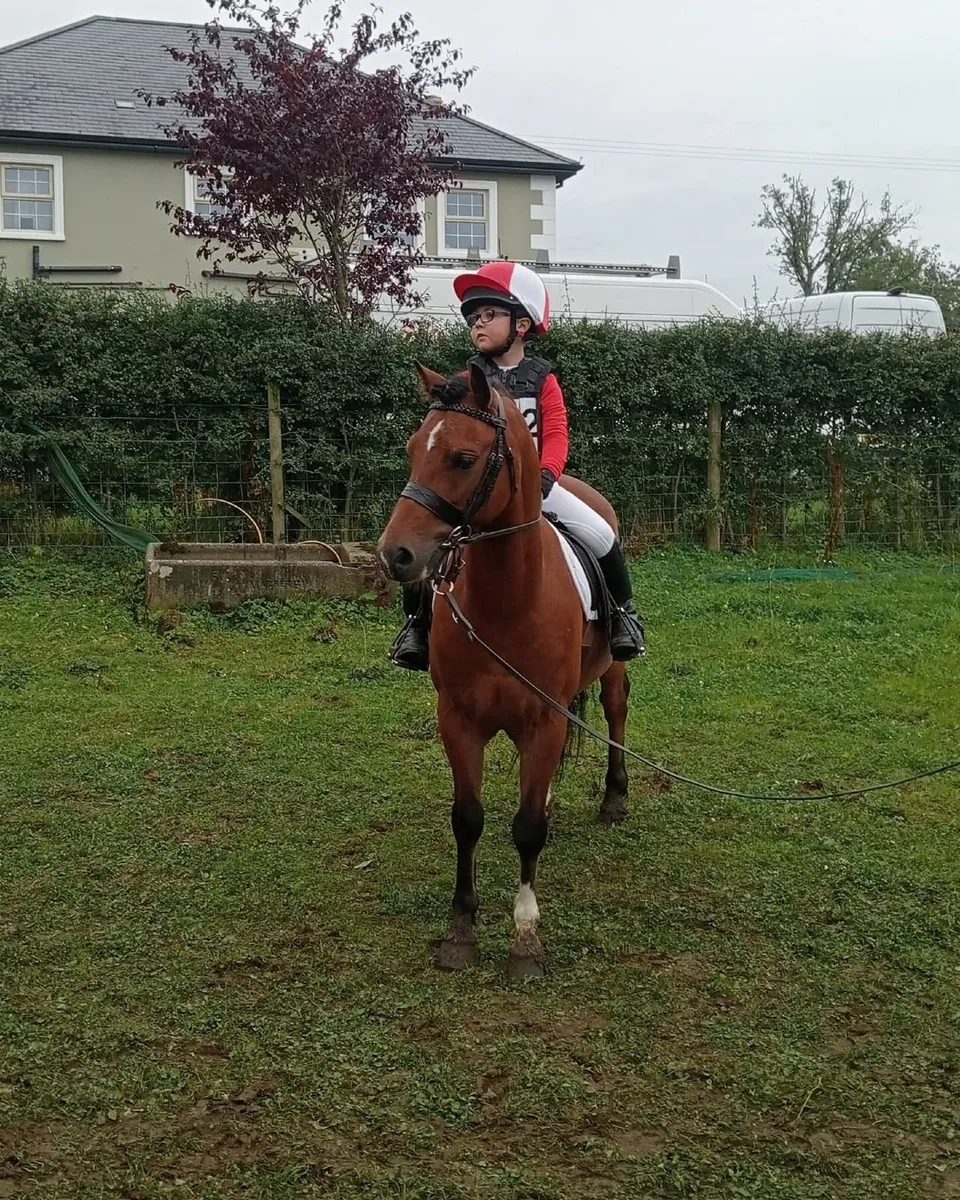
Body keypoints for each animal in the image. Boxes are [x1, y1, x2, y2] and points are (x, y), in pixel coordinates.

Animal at [377, 362, 632, 980]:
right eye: (413, 448)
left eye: (463, 458)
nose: (394, 555)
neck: (508, 602)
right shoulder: (459, 721)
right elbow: (468, 818)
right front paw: (461, 931)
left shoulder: (544, 720)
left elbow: (527, 828)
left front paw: (525, 939)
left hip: (609, 672)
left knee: (614, 713)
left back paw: (614, 798)